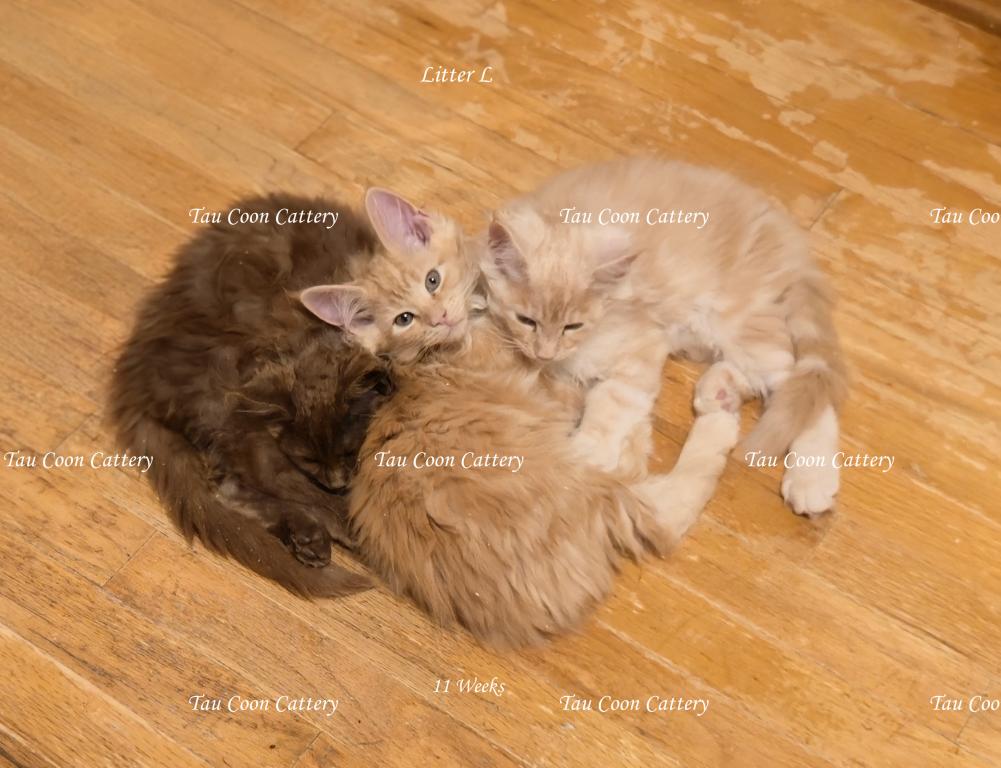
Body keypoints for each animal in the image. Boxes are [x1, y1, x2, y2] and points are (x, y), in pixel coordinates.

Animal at [110, 193, 394, 597]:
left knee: (231, 485)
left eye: (347, 451)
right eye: (309, 460)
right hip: (223, 396)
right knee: (266, 482)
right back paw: (324, 532)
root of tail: (133, 377)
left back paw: (307, 538)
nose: (337, 483)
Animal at [299, 188, 743, 647]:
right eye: (404, 319)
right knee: (662, 502)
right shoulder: (551, 385)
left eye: (432, 280)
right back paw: (714, 405)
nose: (441, 318)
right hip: (589, 479)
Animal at [481, 156, 847, 517]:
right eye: (526, 320)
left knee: (801, 390)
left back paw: (811, 479)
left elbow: (613, 398)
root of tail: (784, 234)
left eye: (573, 326)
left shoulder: (643, 343)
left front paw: (589, 451)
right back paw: (720, 391)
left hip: (737, 320)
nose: (544, 354)